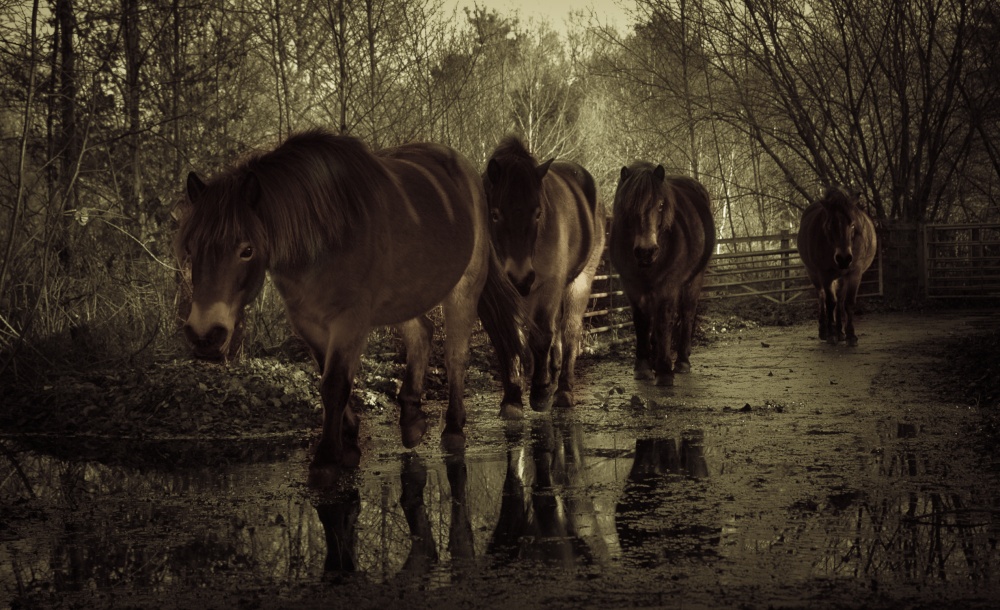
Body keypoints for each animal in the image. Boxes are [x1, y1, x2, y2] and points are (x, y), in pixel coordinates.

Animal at [175, 129, 523, 470]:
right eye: (191, 247)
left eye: (246, 250)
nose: (204, 335)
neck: (324, 238)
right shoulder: (308, 321)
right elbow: (326, 375)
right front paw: (350, 437)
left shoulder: (350, 320)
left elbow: (335, 383)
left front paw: (329, 456)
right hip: (403, 295)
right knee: (422, 334)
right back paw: (411, 419)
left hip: (463, 288)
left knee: (455, 355)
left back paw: (452, 428)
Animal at [483, 136, 606, 413]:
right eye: (495, 214)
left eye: (538, 213)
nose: (520, 278)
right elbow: (508, 340)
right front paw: (512, 398)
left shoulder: (548, 288)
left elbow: (541, 337)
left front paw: (539, 393)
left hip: (578, 283)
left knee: (568, 331)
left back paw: (563, 390)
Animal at [609, 163, 715, 386]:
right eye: (628, 207)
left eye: (660, 205)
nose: (646, 251)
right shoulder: (632, 286)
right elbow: (642, 321)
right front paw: (643, 367)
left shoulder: (668, 287)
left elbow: (664, 321)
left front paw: (665, 370)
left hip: (694, 280)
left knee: (687, 314)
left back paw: (682, 361)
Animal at [796, 185, 877, 346]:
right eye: (828, 226)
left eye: (852, 225)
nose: (844, 259)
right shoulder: (825, 274)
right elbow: (830, 302)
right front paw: (831, 334)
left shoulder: (854, 273)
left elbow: (848, 303)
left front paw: (850, 335)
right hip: (814, 274)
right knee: (822, 297)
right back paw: (825, 331)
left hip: (841, 277)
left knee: (840, 301)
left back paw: (840, 332)